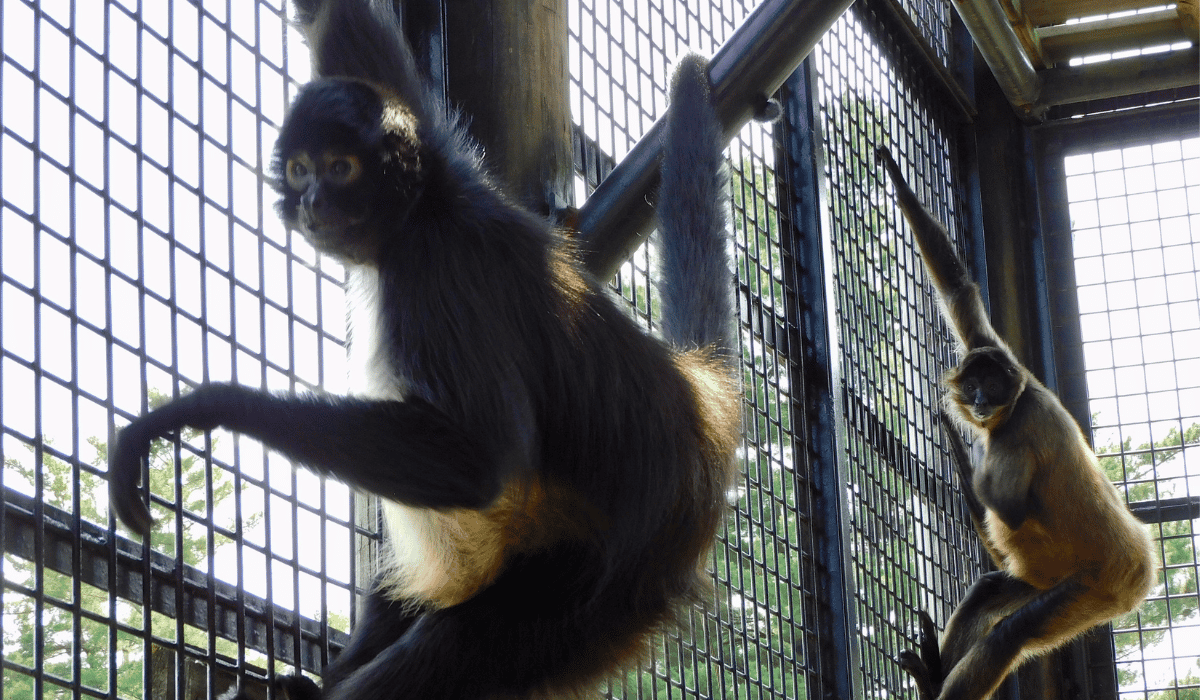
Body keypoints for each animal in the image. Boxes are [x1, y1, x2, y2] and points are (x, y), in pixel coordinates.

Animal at [106, 0, 741, 698]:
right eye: (301, 169)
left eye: (341, 168)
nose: (312, 202)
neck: (425, 207)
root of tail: (694, 402)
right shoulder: (448, 162)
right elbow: (345, 28)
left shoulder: (440, 268)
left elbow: (479, 460)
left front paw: (211, 406)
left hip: (592, 592)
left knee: (467, 639)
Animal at [876, 148, 1156, 700]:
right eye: (974, 384)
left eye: (992, 385)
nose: (982, 400)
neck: (1020, 397)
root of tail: (1141, 562)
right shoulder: (1002, 356)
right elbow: (959, 292)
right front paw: (894, 173)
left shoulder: (1017, 430)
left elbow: (1005, 504)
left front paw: (962, 458)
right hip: (1050, 581)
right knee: (989, 592)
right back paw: (933, 676)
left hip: (1089, 589)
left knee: (1013, 631)